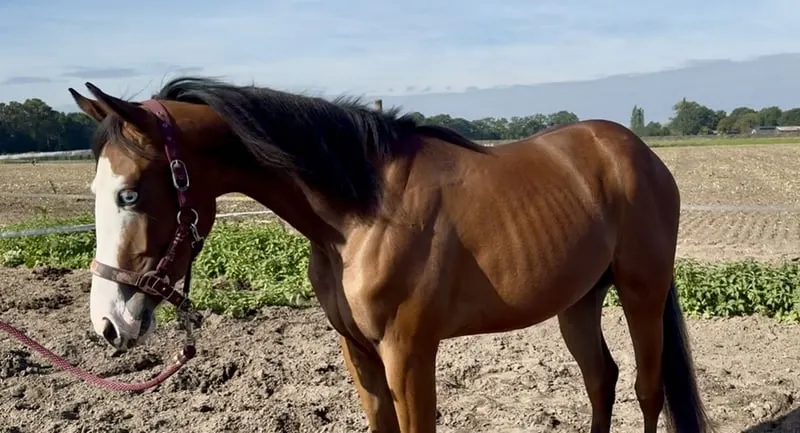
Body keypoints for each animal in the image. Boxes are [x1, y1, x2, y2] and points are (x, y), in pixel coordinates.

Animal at [68, 77, 710, 433]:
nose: (109, 322)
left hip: (641, 294)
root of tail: (634, 150)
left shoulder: (408, 352)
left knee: (647, 391)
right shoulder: (359, 352)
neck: (362, 214)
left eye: (130, 193)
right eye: (95, 190)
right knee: (601, 380)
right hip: (578, 302)